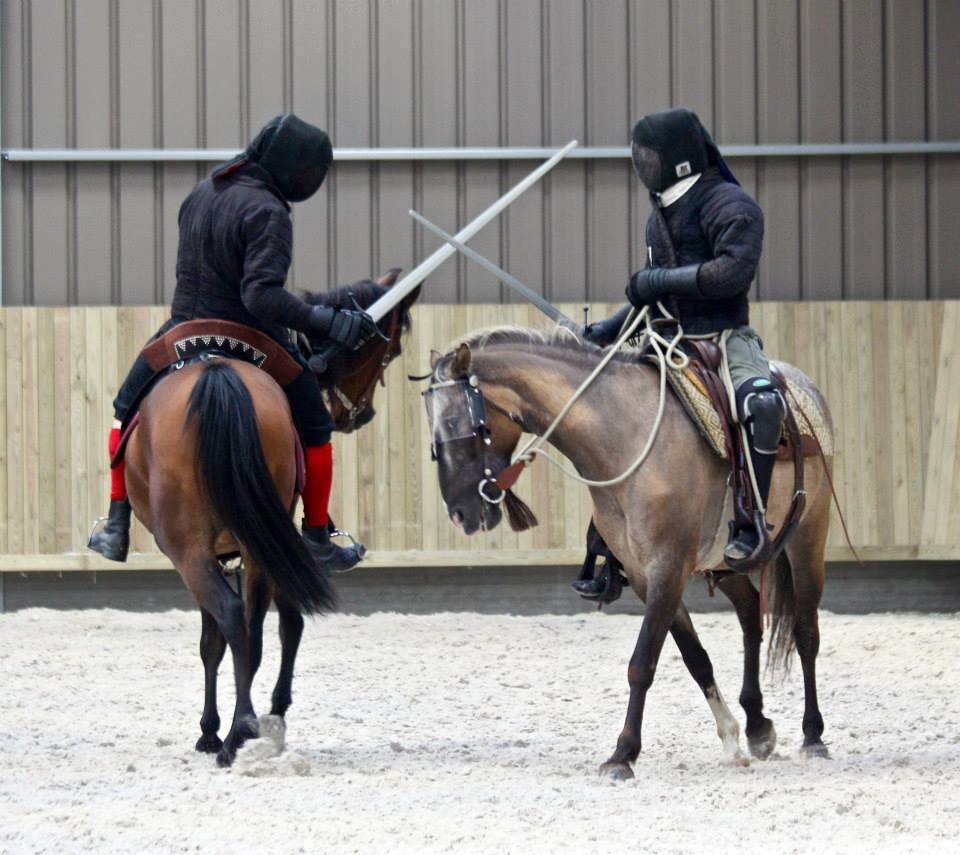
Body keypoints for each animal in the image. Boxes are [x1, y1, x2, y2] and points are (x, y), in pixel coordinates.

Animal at [123, 270, 416, 764]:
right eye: (388, 352)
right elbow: (260, 630)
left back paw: (239, 731)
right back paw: (250, 726)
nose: (361, 415)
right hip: (250, 547)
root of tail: (217, 371)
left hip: (197, 550)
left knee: (238, 621)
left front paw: (213, 729)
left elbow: (216, 640)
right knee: (254, 627)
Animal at [426, 330, 832, 784]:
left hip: (808, 538)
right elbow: (696, 659)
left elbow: (642, 663)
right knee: (750, 616)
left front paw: (622, 754)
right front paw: (730, 737)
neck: (624, 435)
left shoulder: (668, 569)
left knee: (805, 632)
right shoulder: (643, 574)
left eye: (460, 424)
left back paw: (813, 736)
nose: (460, 512)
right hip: (724, 564)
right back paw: (758, 725)